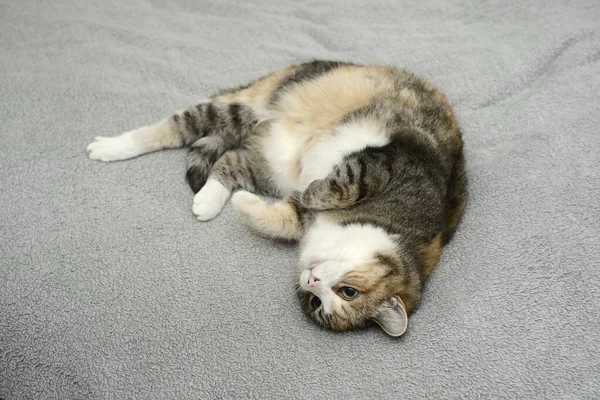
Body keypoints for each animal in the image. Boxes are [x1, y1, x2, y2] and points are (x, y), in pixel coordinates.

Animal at [86, 59, 466, 336]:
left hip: (266, 163)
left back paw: (210, 199)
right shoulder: (392, 161)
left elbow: (281, 219)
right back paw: (109, 147)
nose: (312, 280)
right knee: (174, 126)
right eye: (349, 292)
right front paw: (314, 189)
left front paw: (244, 204)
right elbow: (343, 183)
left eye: (317, 303)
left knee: (228, 160)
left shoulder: (300, 216)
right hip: (247, 105)